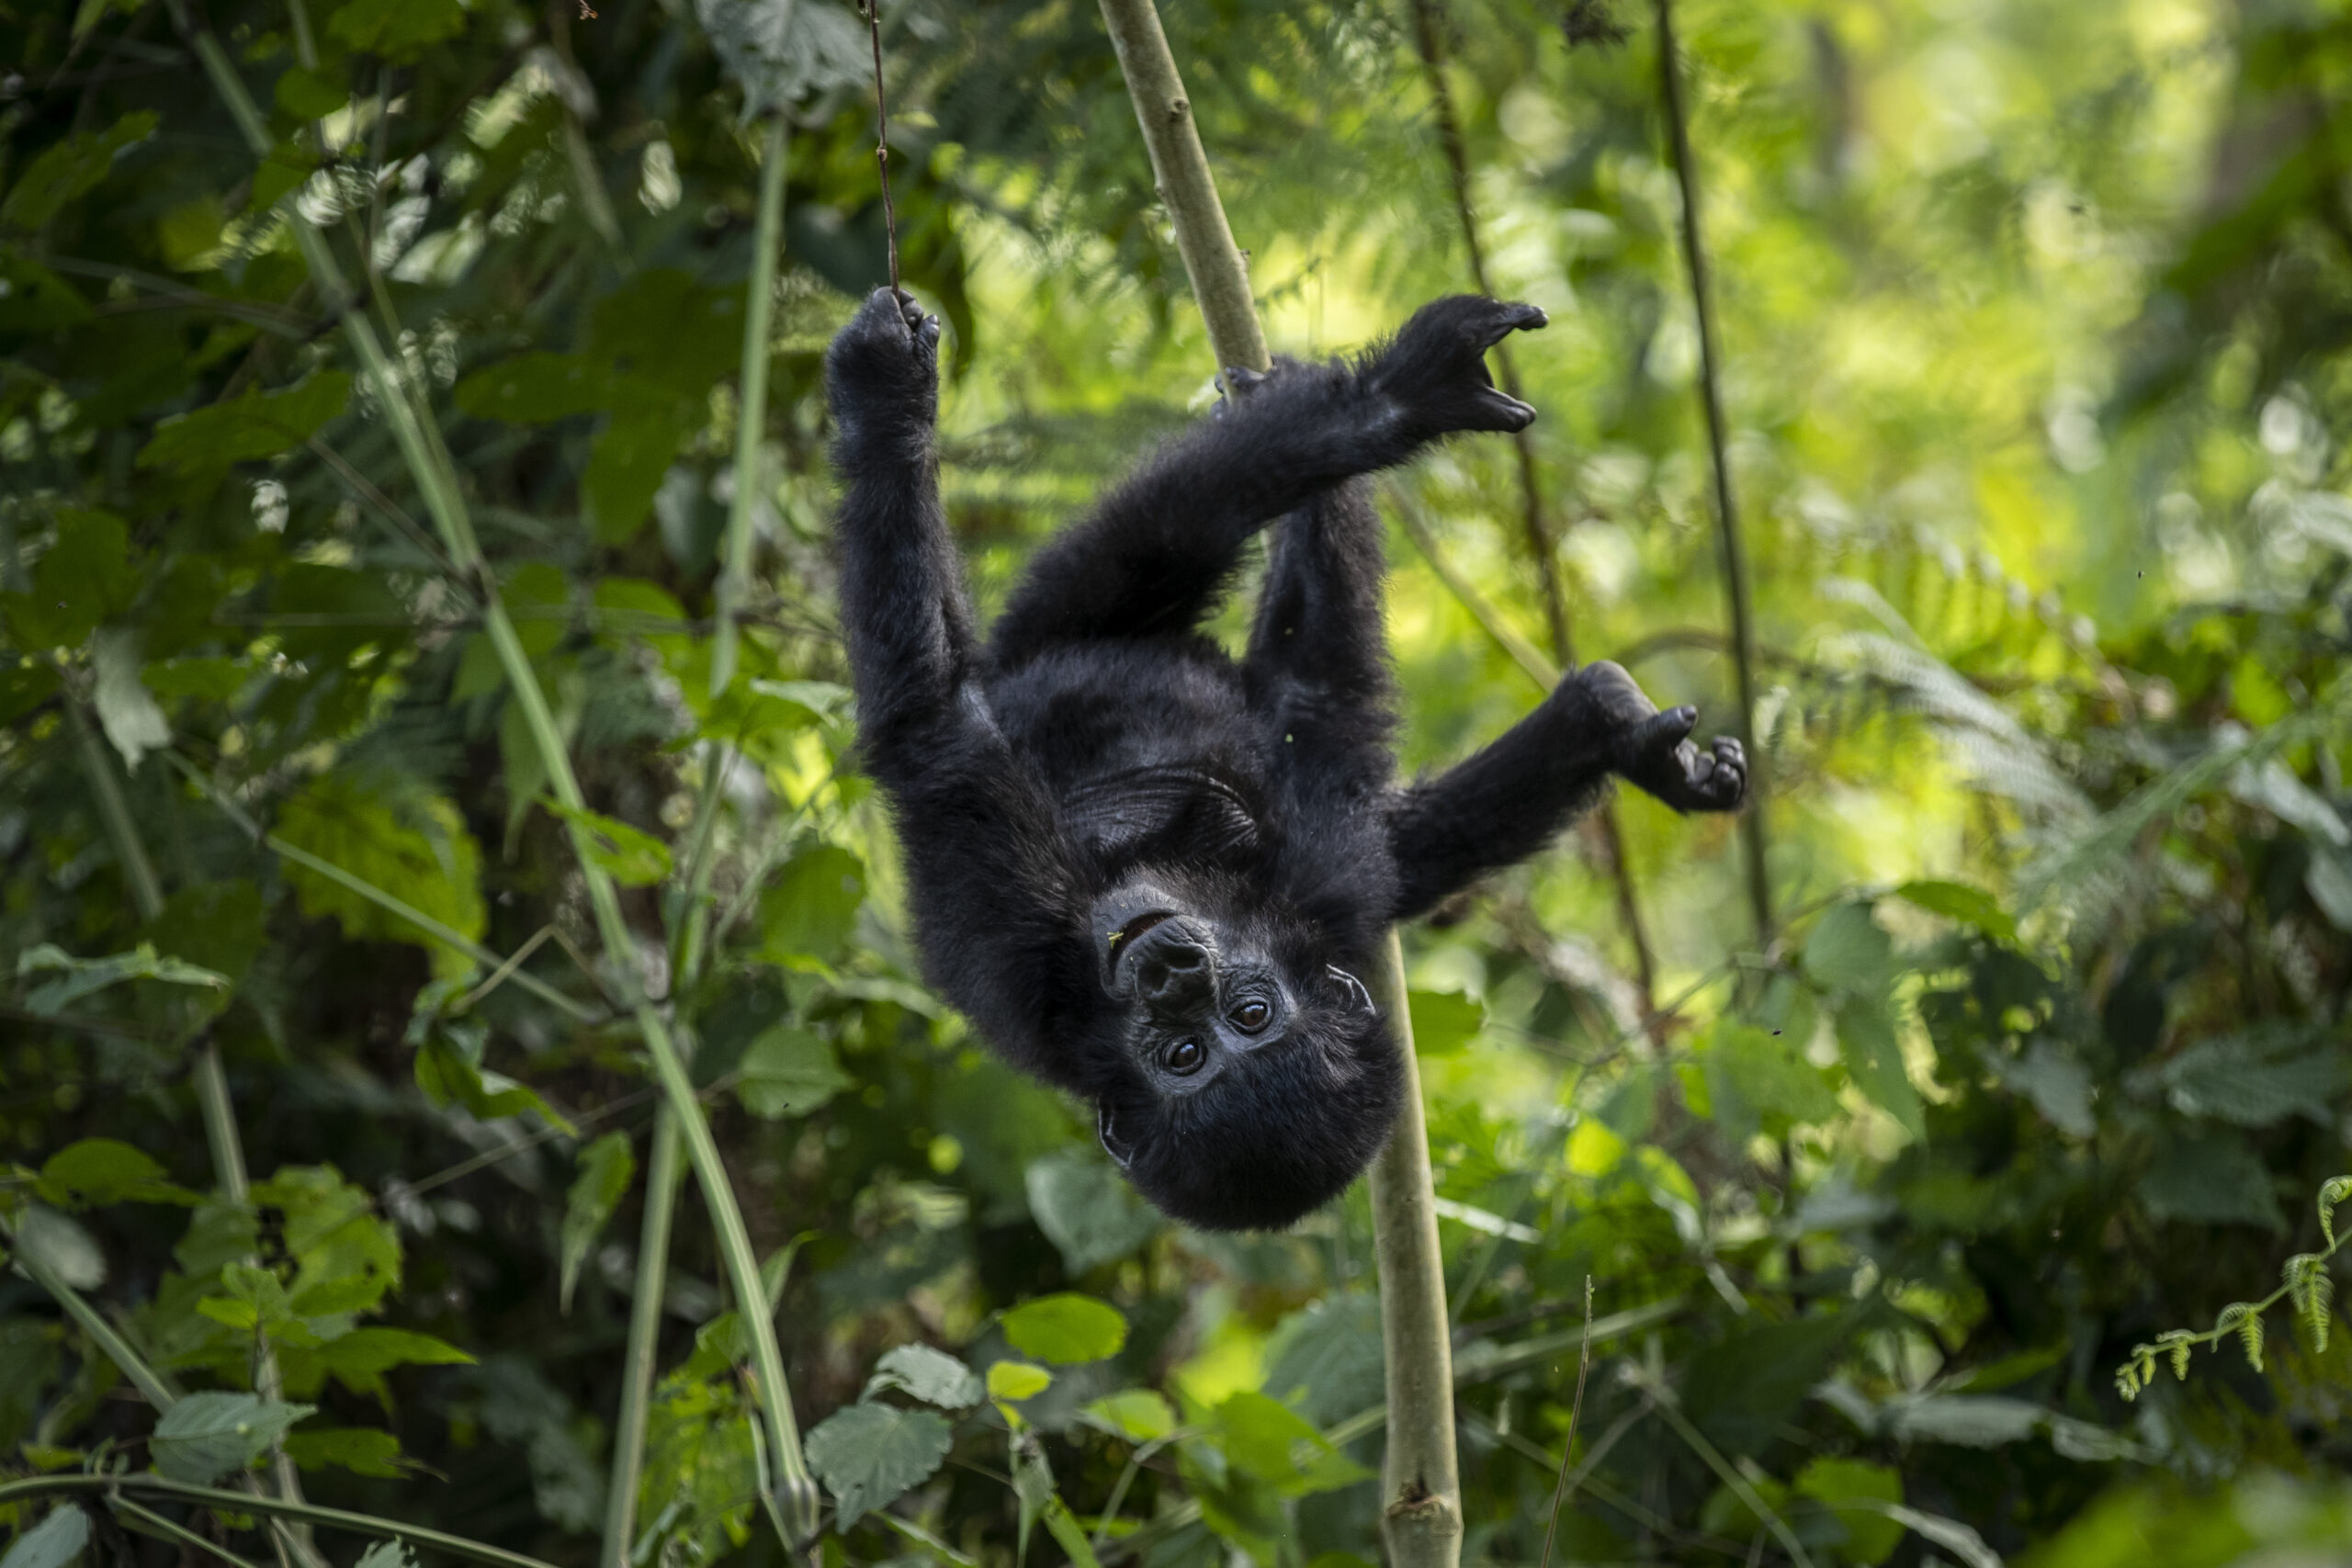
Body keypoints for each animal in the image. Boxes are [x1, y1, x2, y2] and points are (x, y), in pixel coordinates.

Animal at [828, 288, 1749, 1232]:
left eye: (1249, 1015)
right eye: (1184, 1054)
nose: (1170, 973)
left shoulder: (1322, 891)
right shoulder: (1022, 950)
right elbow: (939, 724)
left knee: (1175, 537)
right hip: (1056, 633)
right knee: (1168, 539)